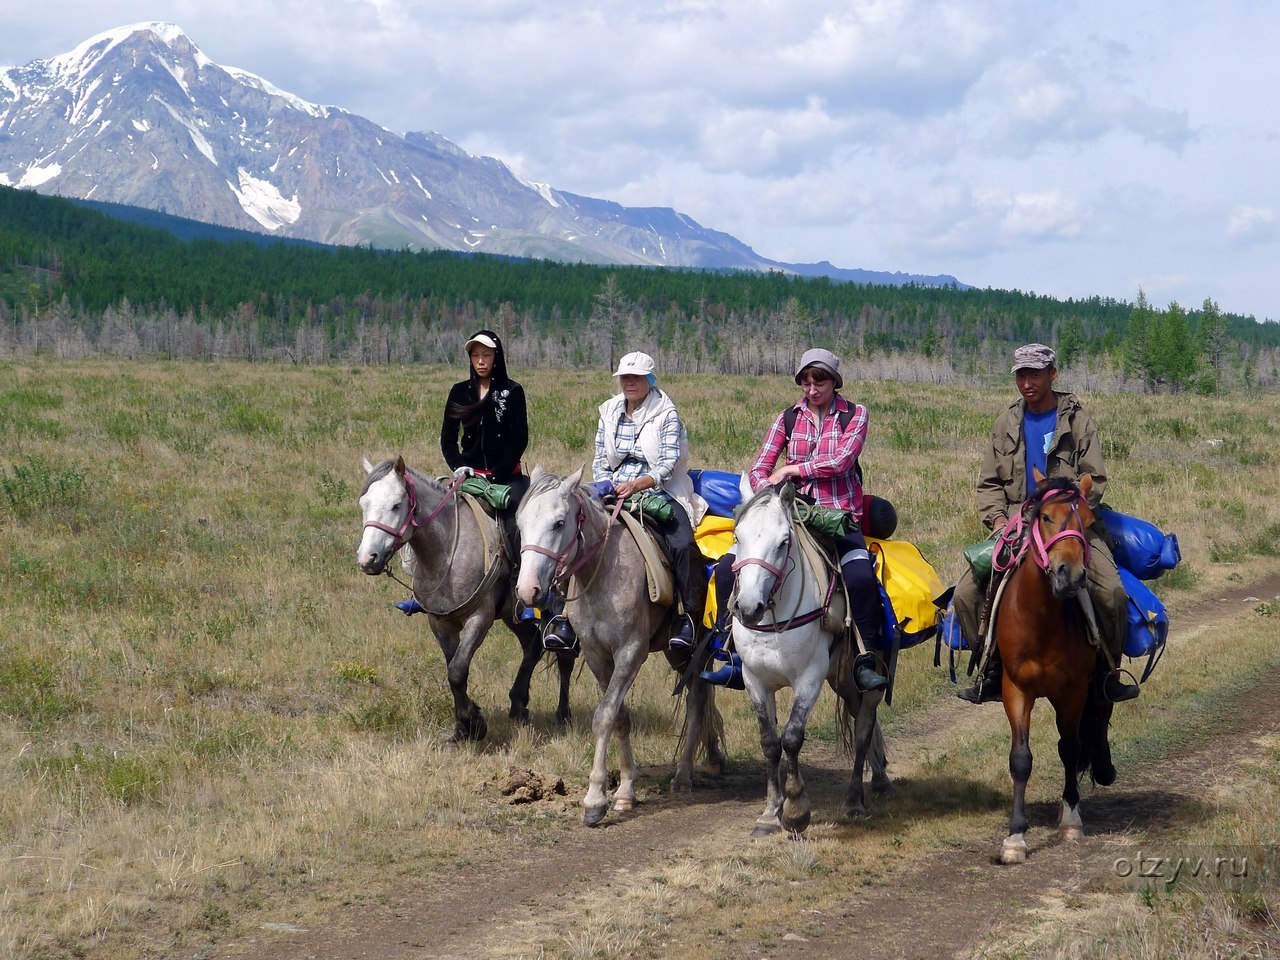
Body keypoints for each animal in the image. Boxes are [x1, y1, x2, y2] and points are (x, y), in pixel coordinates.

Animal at [358, 458, 573, 742]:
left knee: (565, 655)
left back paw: (563, 714)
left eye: (395, 505)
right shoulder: (440, 623)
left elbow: (458, 670)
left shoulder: (479, 618)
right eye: (364, 504)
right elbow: (453, 668)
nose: (367, 559)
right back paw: (518, 705)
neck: (448, 550)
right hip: (511, 613)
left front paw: (473, 722)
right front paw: (464, 726)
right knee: (533, 645)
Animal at [514, 465, 727, 829]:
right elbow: (620, 717)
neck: (601, 575)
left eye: (559, 523)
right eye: (521, 522)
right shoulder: (597, 656)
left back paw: (684, 775)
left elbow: (604, 717)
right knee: (698, 694)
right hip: (675, 651)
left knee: (697, 697)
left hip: (693, 644)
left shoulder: (630, 652)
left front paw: (595, 800)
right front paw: (626, 791)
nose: (528, 590)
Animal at [732, 483, 890, 839]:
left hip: (869, 679)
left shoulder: (809, 678)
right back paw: (879, 779)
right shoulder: (754, 679)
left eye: (782, 542)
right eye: (737, 537)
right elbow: (769, 742)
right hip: (844, 680)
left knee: (863, 726)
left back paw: (854, 801)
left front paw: (795, 812)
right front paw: (769, 814)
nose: (748, 607)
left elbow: (791, 737)